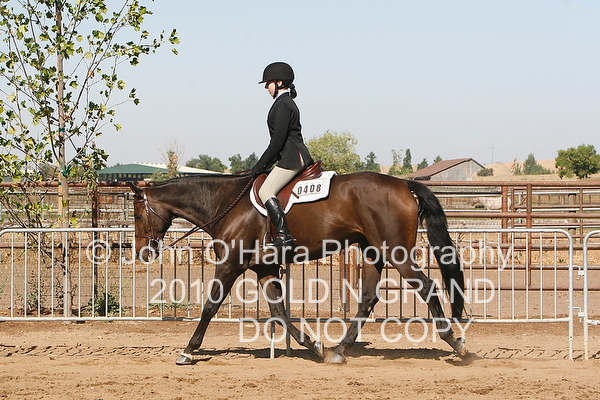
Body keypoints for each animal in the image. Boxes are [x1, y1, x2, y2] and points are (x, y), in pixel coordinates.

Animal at [127, 170, 467, 365]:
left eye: (138, 215)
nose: (143, 251)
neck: (225, 204)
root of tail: (405, 185)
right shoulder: (263, 269)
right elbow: (279, 312)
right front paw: (314, 345)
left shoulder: (231, 264)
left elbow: (210, 306)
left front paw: (188, 350)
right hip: (372, 251)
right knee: (368, 299)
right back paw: (338, 351)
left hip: (396, 253)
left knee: (427, 287)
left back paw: (456, 344)